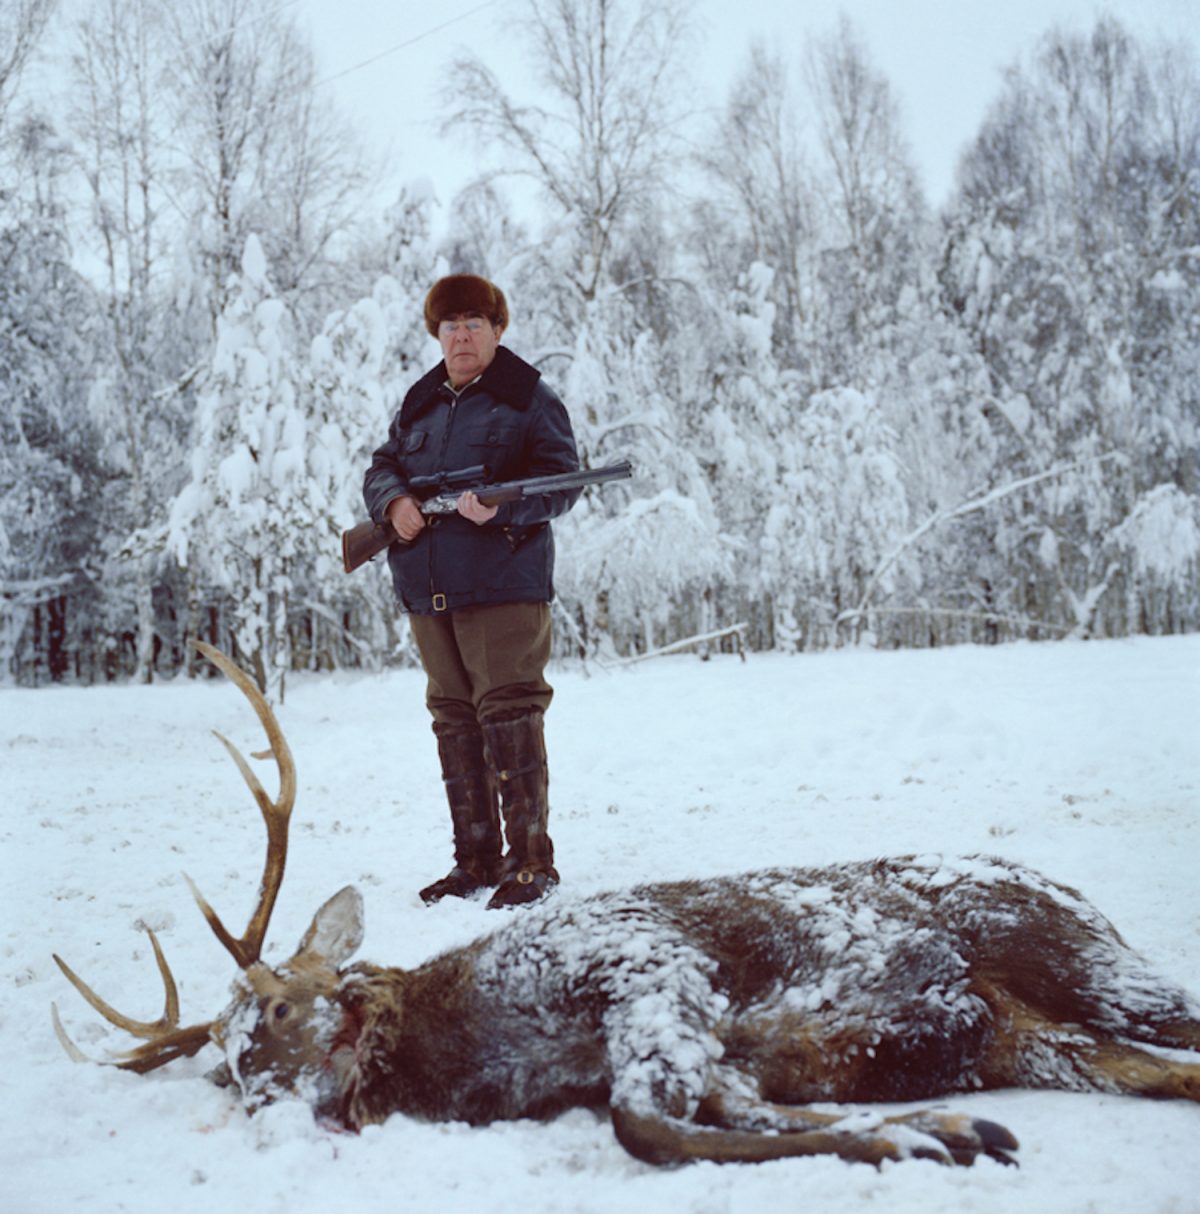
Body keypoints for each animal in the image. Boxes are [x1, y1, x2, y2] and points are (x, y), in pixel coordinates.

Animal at [51, 645, 1200, 1165]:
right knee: (1158, 1070)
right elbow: (709, 1112)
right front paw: (932, 1126)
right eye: (221, 1060)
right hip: (1039, 1033)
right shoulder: (716, 1049)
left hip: (1087, 957)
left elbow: (644, 1122)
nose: (270, 1104)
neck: (477, 1044)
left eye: (280, 1009)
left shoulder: (645, 959)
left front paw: (931, 1136)